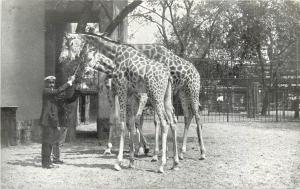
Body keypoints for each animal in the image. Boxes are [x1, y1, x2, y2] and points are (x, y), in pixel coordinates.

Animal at [58, 32, 178, 173]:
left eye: (69, 43)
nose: (61, 58)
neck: (115, 54)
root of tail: (168, 75)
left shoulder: (122, 90)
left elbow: (122, 124)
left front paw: (118, 162)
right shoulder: (128, 94)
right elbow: (130, 123)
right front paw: (131, 161)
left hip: (155, 95)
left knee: (163, 123)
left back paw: (160, 162)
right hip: (165, 98)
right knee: (172, 122)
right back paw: (174, 161)